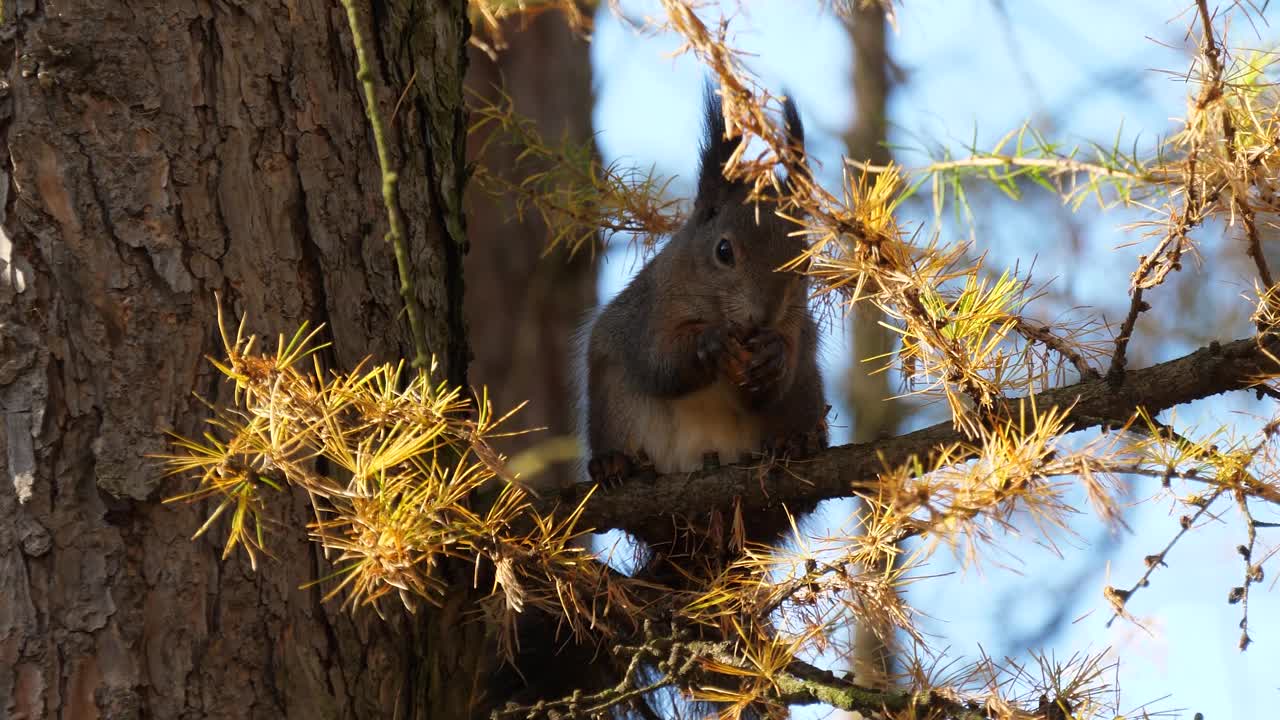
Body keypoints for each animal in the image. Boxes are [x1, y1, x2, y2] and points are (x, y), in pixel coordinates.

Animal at [583, 83, 829, 566]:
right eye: (723, 251)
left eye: (805, 261)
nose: (762, 317)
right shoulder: (649, 313)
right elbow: (659, 366)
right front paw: (710, 344)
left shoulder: (797, 330)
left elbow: (774, 380)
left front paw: (772, 356)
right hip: (615, 407)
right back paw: (614, 464)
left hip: (808, 397)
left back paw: (798, 444)